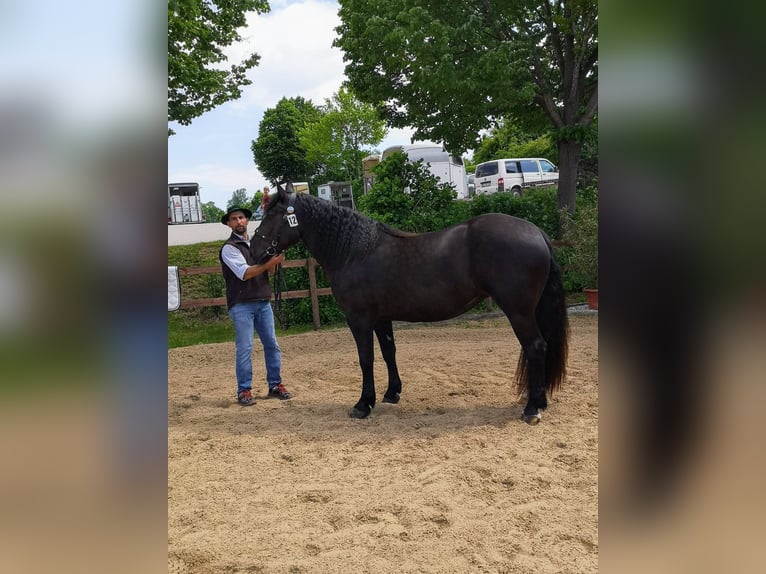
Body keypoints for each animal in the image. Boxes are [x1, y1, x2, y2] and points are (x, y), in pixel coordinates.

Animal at [254, 187, 568, 426]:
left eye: (272, 215)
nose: (255, 251)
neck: (355, 251)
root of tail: (535, 231)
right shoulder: (381, 318)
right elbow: (388, 353)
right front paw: (391, 394)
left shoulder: (359, 319)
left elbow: (366, 359)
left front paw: (362, 404)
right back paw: (537, 402)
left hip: (519, 312)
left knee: (536, 347)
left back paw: (532, 408)